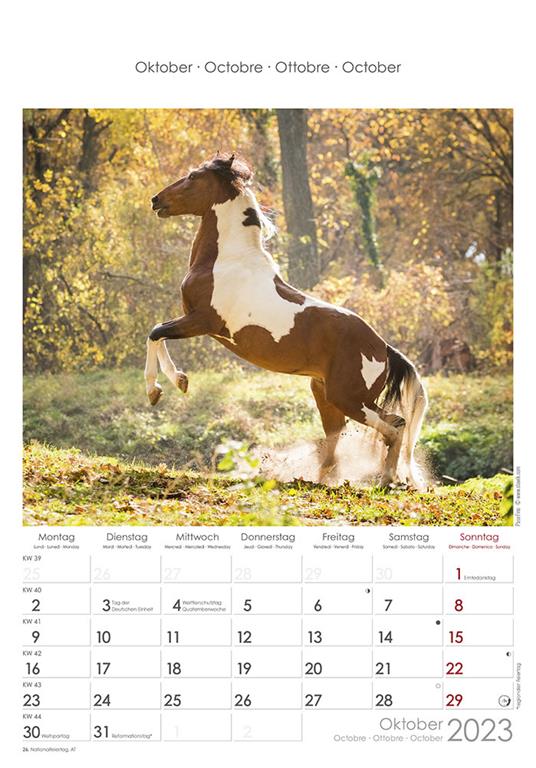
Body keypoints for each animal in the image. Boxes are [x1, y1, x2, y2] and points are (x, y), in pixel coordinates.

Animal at [145, 153, 428, 488]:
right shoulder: (197, 323)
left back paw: (387, 480)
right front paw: (173, 384)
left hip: (349, 399)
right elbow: (158, 334)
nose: (156, 200)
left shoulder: (202, 321)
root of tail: (383, 348)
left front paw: (163, 388)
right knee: (341, 441)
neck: (225, 261)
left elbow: (155, 332)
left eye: (192, 176)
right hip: (326, 395)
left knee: (394, 425)